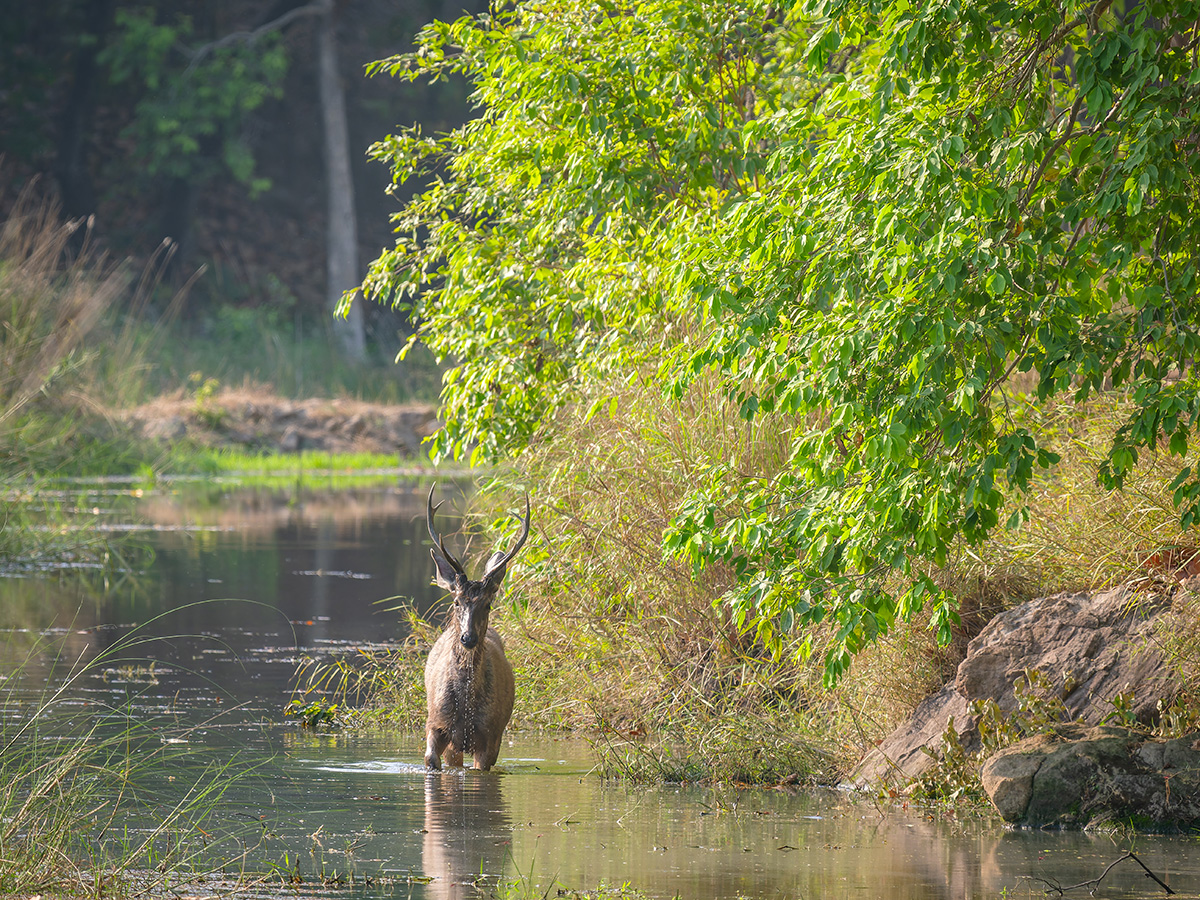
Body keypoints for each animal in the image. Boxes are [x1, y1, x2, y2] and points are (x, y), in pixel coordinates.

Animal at [423, 484, 529, 771]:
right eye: (456, 601)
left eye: (488, 604)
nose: (467, 638)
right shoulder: (436, 723)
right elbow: (430, 759)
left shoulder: (490, 735)